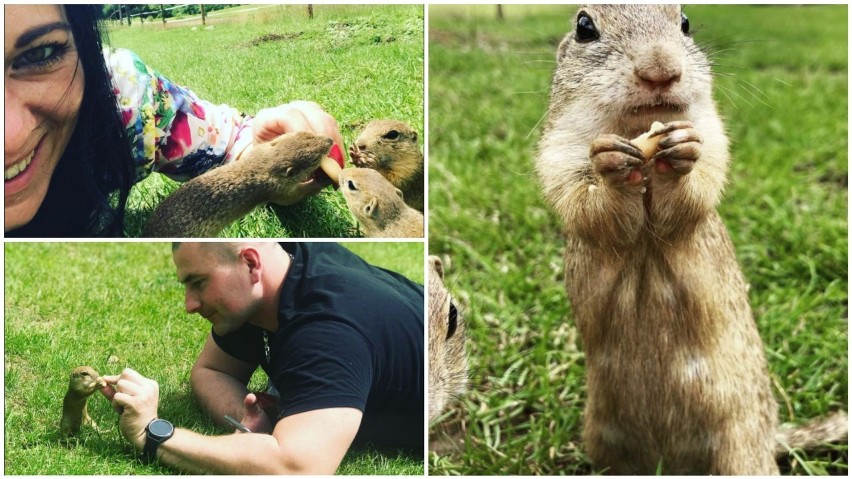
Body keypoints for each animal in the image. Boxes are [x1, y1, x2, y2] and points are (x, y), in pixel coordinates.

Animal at [143, 131, 332, 238]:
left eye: (308, 134)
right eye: (315, 158)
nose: (330, 140)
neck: (263, 163)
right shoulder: (278, 190)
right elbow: (294, 196)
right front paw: (322, 180)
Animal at [536, 4, 844, 476]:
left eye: (684, 22)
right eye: (584, 26)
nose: (660, 70)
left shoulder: (714, 137)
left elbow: (700, 181)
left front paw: (680, 153)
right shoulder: (558, 151)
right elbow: (584, 201)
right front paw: (610, 165)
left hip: (740, 444)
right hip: (602, 443)